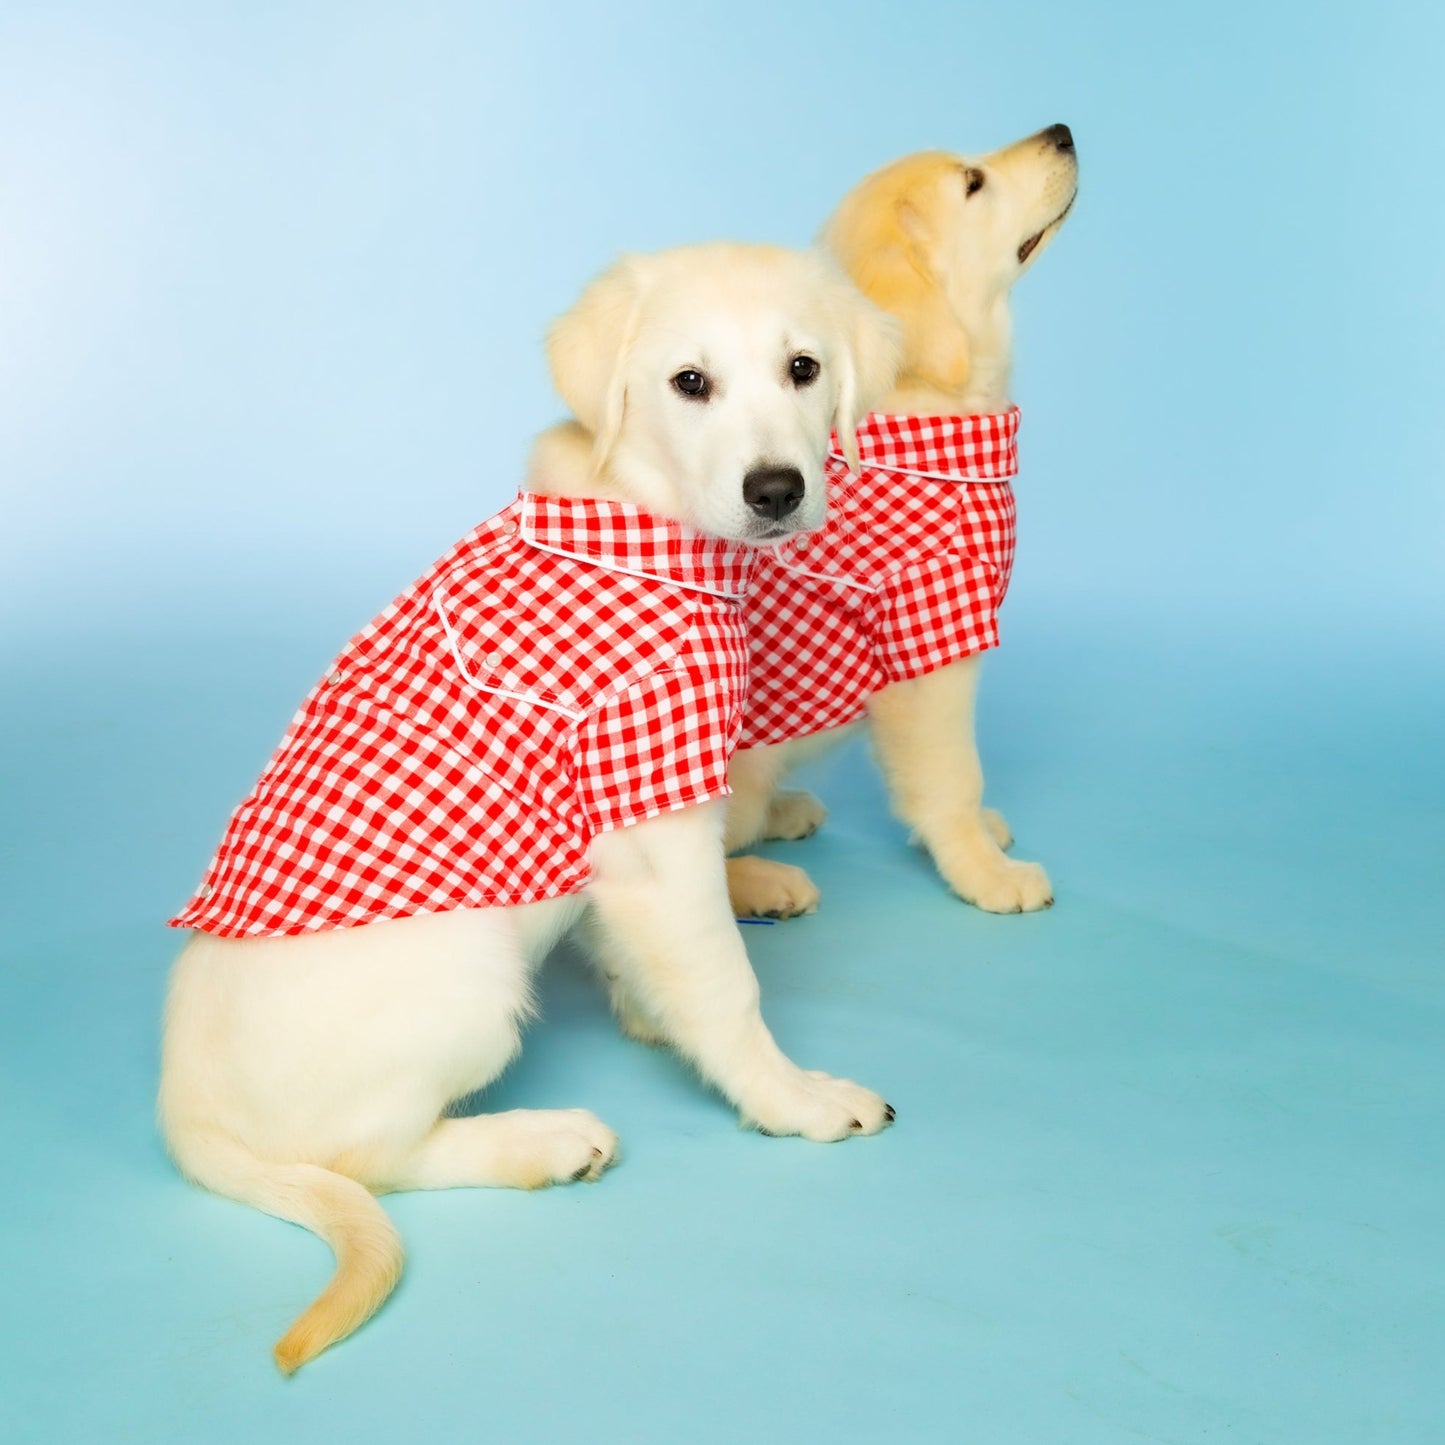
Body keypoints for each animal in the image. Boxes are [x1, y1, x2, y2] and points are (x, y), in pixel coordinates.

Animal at [164, 242, 895, 1369]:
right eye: (690, 382)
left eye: (804, 369)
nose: (777, 490)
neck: (640, 521)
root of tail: (183, 1115)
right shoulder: (651, 830)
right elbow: (723, 984)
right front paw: (788, 1096)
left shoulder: (618, 850)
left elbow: (655, 960)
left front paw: (657, 1009)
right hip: (470, 970)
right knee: (370, 1156)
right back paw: (538, 1140)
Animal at [728, 121, 1080, 913]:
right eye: (973, 182)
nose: (1063, 133)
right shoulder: (930, 650)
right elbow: (951, 778)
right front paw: (984, 870)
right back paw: (761, 882)